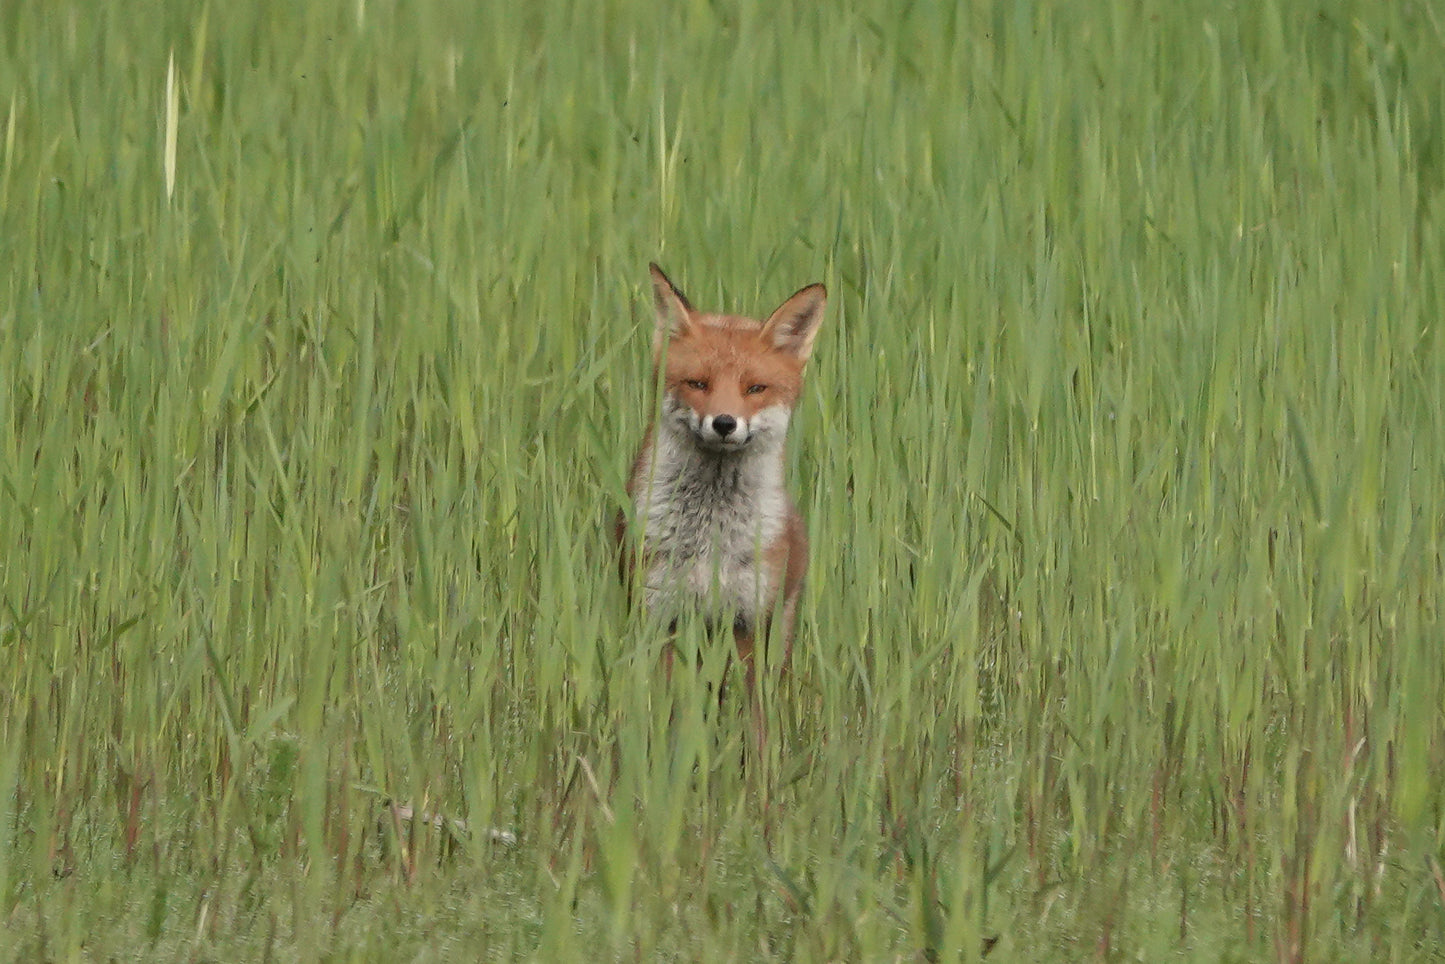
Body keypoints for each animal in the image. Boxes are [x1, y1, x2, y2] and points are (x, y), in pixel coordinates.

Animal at [617, 263, 826, 734]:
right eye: (698, 383)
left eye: (755, 388)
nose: (725, 423)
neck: (710, 538)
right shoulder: (663, 616)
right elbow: (670, 713)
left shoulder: (750, 623)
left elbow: (755, 722)